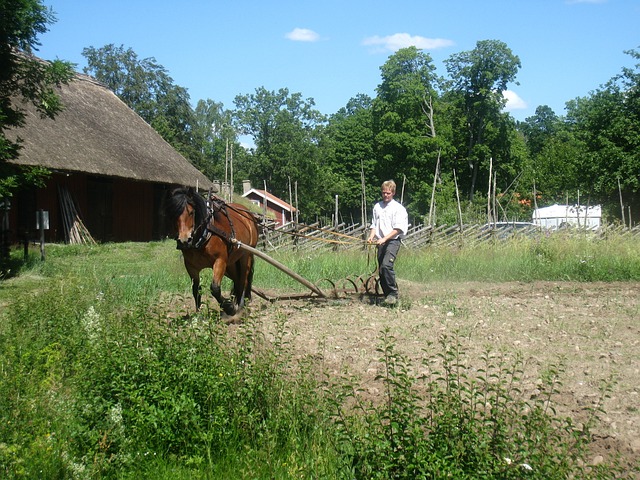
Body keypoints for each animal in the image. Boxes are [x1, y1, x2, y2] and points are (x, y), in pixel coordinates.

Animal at [168, 188, 262, 318]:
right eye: (174, 214)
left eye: (191, 212)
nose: (184, 240)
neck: (206, 233)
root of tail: (248, 215)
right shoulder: (191, 267)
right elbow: (196, 289)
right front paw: (198, 316)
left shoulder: (220, 261)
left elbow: (215, 288)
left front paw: (229, 308)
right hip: (231, 263)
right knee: (237, 279)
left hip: (245, 255)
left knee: (244, 279)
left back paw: (240, 306)